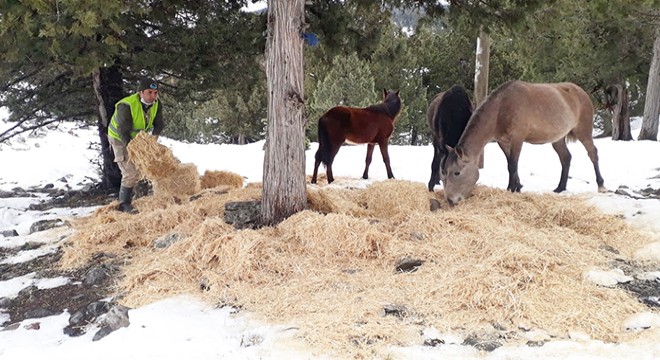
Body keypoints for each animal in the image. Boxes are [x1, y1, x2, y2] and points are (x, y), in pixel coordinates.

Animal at [440, 81, 604, 205]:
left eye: (457, 172)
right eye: (445, 172)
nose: (450, 200)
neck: (501, 109)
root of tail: (581, 92)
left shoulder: (517, 140)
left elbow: (513, 165)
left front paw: (512, 189)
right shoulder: (503, 142)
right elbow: (510, 164)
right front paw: (516, 187)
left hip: (583, 132)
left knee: (593, 153)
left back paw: (601, 185)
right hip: (558, 139)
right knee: (566, 158)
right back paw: (560, 188)